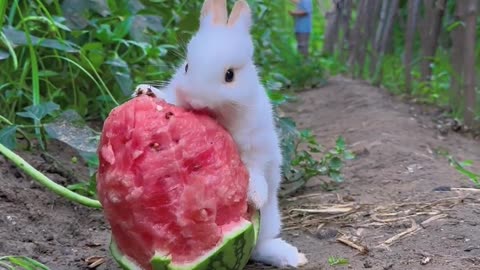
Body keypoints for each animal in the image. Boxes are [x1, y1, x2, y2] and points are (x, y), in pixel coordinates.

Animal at [135, 0, 308, 266]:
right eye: (187, 67)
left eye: (230, 75)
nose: (196, 101)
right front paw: (145, 90)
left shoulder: (257, 146)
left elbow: (255, 170)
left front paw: (256, 197)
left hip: (269, 223)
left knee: (262, 244)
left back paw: (291, 257)